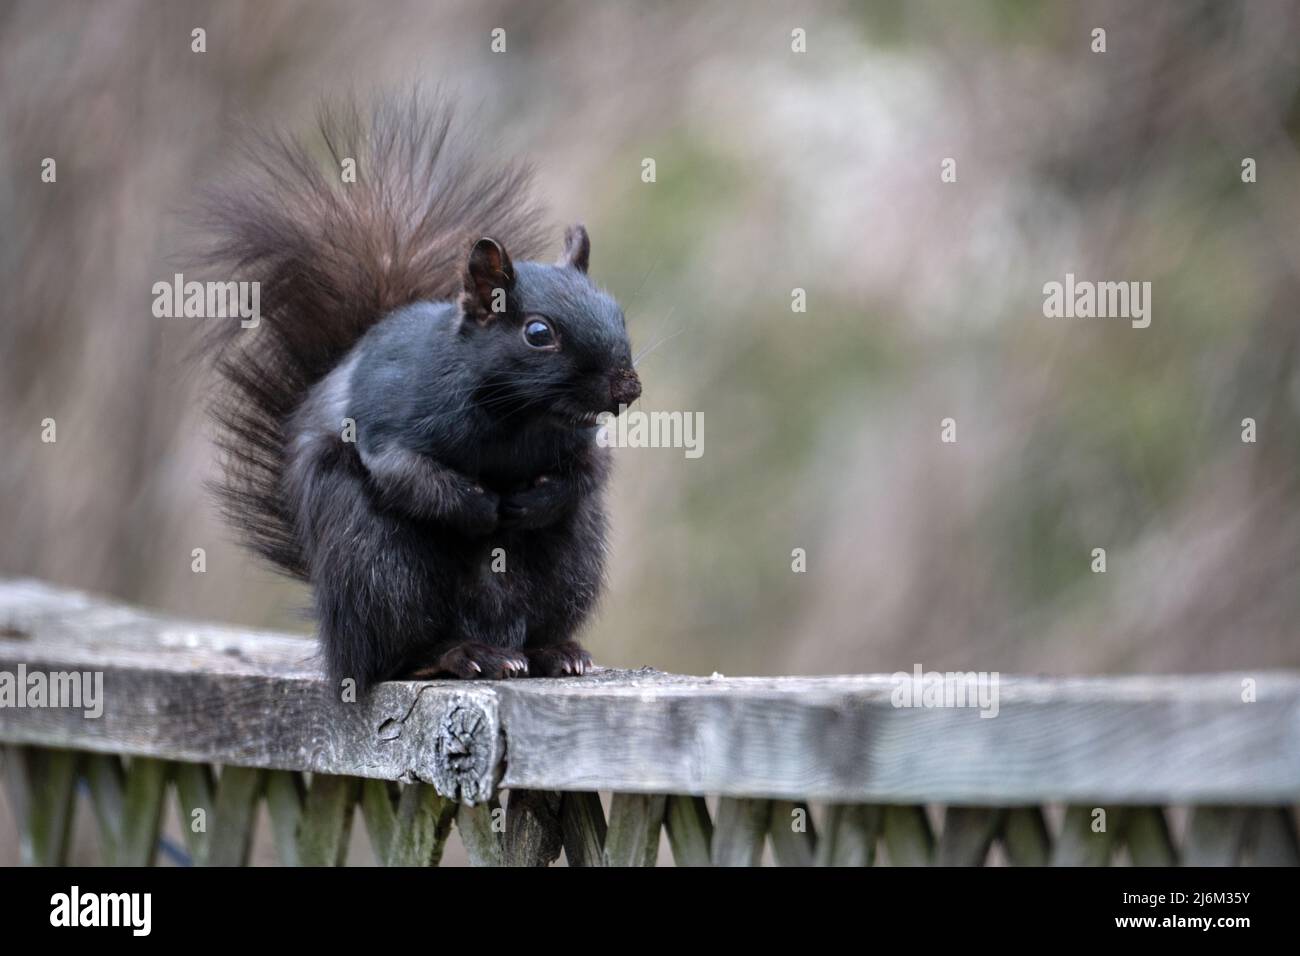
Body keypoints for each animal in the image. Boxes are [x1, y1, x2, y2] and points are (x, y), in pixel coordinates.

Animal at [200, 94, 640, 691]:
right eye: (538, 333)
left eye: (617, 310)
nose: (628, 387)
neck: (519, 417)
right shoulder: (386, 419)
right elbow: (407, 473)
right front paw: (480, 507)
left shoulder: (584, 444)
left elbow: (588, 474)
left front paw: (530, 502)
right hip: (376, 563)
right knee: (395, 655)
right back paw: (462, 654)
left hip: (574, 561)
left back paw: (554, 651)